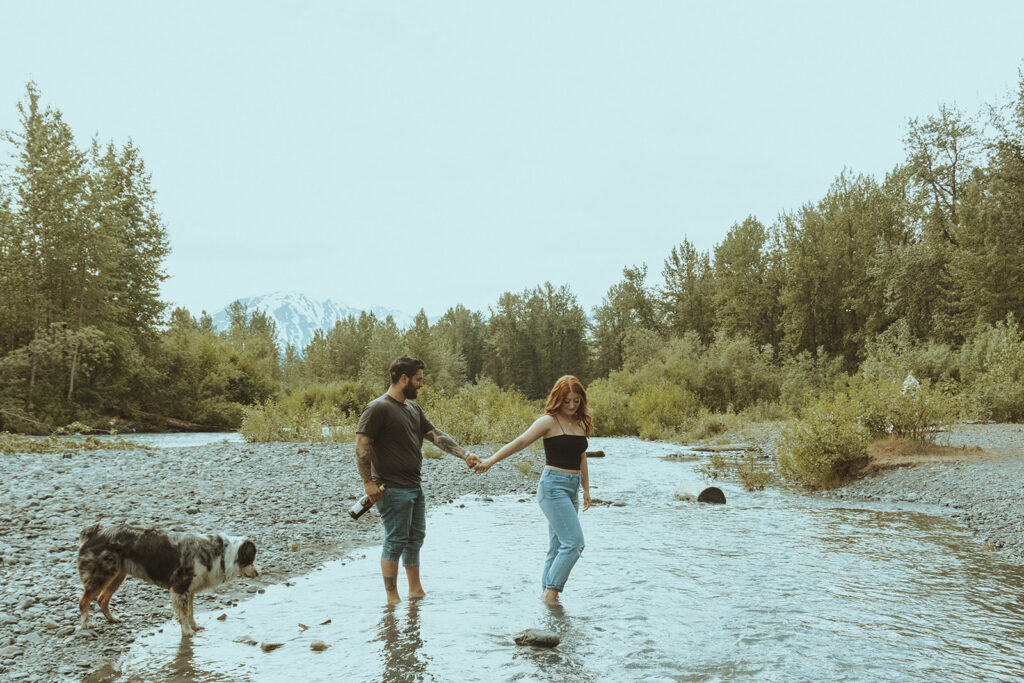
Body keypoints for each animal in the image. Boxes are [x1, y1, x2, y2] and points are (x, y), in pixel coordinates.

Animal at [77, 528, 258, 638]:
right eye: (252, 559)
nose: (257, 574)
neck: (220, 554)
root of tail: (94, 533)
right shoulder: (179, 589)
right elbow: (183, 614)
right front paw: (187, 632)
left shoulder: (189, 590)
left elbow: (190, 612)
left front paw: (195, 627)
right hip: (102, 575)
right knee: (84, 601)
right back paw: (86, 624)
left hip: (117, 575)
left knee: (102, 599)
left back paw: (112, 619)